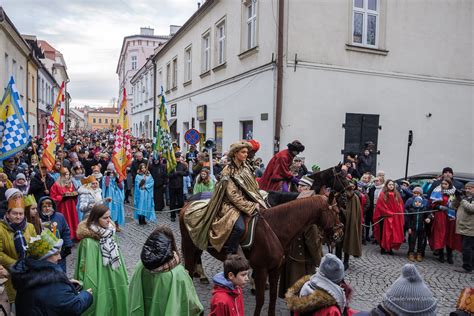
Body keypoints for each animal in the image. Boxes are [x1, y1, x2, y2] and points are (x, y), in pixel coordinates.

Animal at [179, 194, 340, 314]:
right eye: (335, 211)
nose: (339, 233)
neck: (275, 228)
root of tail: (186, 205)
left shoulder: (276, 269)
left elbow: (273, 296)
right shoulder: (261, 269)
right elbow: (261, 299)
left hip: (198, 247)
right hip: (189, 248)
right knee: (188, 273)